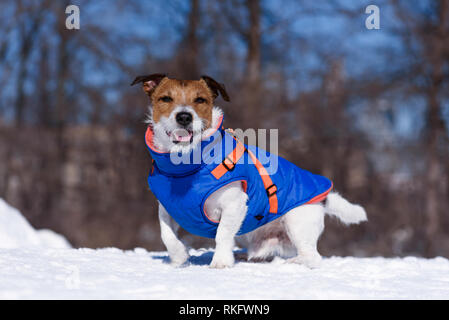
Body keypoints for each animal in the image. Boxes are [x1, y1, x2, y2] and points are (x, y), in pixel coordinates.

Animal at [130, 74, 368, 268]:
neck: (186, 166)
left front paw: (221, 262)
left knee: (312, 256)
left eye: (200, 100)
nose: (184, 117)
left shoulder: (235, 204)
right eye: (165, 99)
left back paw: (290, 263)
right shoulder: (166, 209)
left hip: (297, 221)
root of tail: (324, 199)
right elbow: (166, 235)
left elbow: (222, 234)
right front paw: (179, 258)